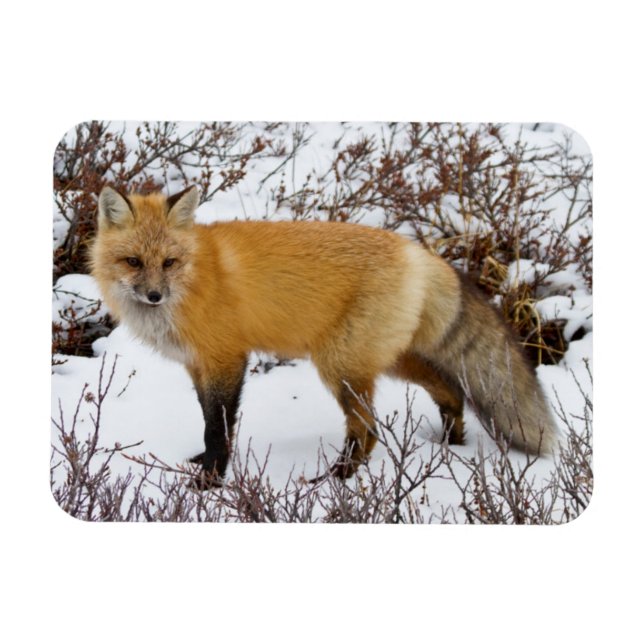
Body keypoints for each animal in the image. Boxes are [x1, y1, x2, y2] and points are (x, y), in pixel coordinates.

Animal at [90, 185, 557, 489]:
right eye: (133, 261)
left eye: (169, 262)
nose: (154, 296)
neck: (195, 281)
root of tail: (418, 252)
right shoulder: (197, 365)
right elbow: (208, 420)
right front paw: (203, 465)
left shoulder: (227, 359)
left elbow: (217, 427)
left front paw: (210, 482)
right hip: (385, 360)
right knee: (449, 390)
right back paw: (451, 444)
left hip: (340, 366)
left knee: (368, 430)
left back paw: (338, 480)